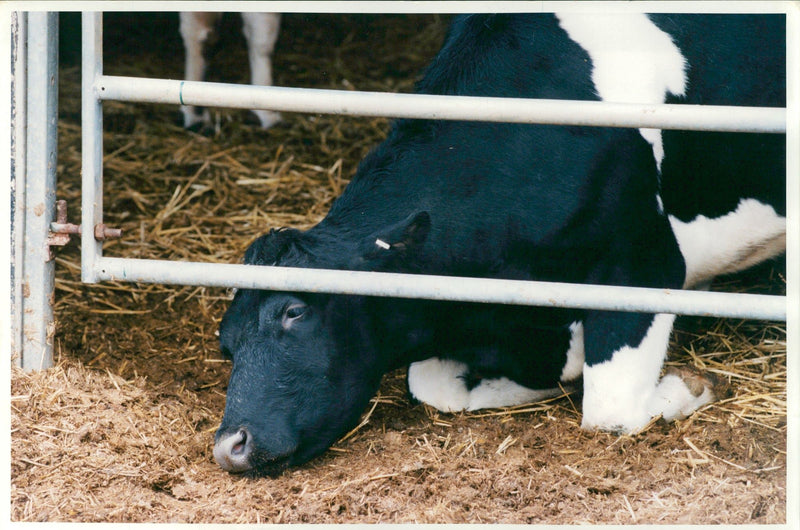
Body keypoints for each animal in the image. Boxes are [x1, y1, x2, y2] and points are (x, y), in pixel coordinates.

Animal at [212, 12, 788, 474]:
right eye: (225, 342)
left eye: (295, 312)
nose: (229, 446)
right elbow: (435, 387)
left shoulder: (644, 266)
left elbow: (613, 411)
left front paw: (690, 386)